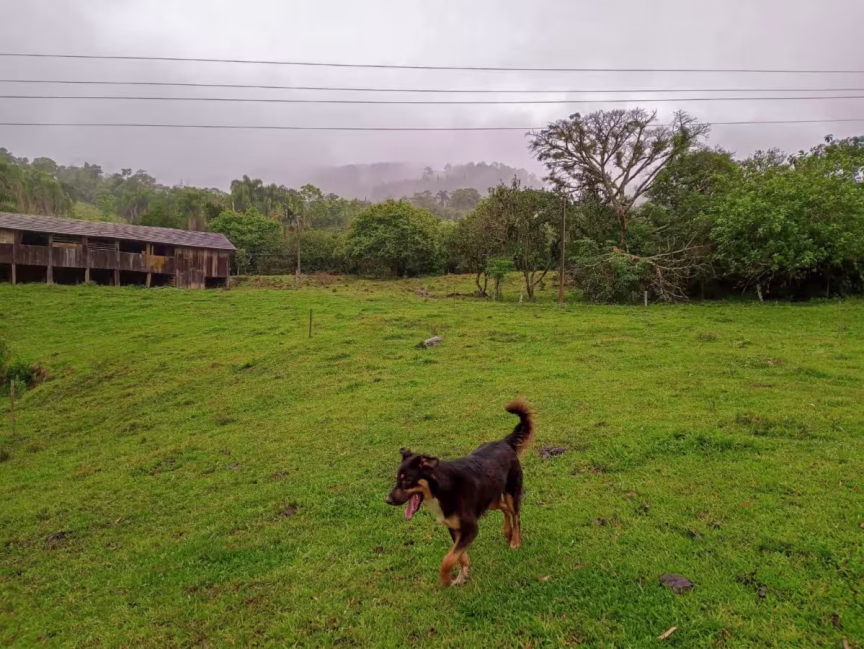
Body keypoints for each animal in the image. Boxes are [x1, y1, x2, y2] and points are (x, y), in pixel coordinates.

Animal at [385, 399, 534, 586]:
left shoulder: (471, 528)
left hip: (511, 493)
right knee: (505, 509)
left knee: (515, 515)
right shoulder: (454, 527)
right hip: (491, 499)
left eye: (406, 481)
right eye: (397, 479)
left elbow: (448, 558)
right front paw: (462, 574)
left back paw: (515, 540)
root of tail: (504, 442)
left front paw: (445, 580)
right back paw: (507, 532)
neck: (441, 488)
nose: (388, 500)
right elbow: (458, 555)